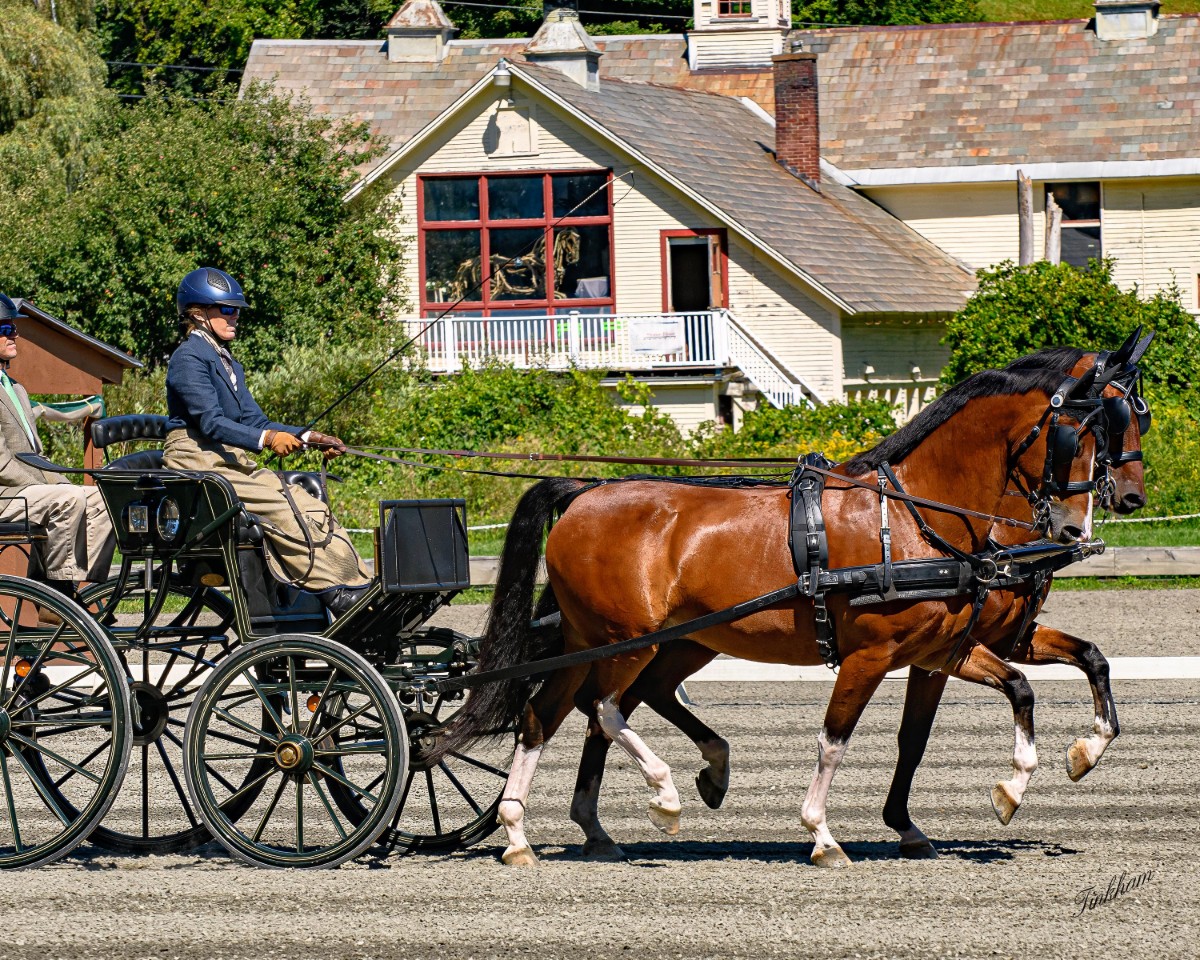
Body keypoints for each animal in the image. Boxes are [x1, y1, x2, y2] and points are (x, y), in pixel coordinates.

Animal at [436, 345, 1137, 867]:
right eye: (1074, 432)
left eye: (1129, 423)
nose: (1079, 525)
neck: (916, 520)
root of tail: (585, 490)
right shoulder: (871, 654)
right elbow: (835, 739)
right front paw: (822, 834)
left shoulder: (946, 649)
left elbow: (1025, 686)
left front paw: (1043, 772)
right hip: (625, 638)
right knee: (602, 708)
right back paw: (663, 794)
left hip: (620, 639)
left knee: (548, 715)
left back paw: (528, 833)